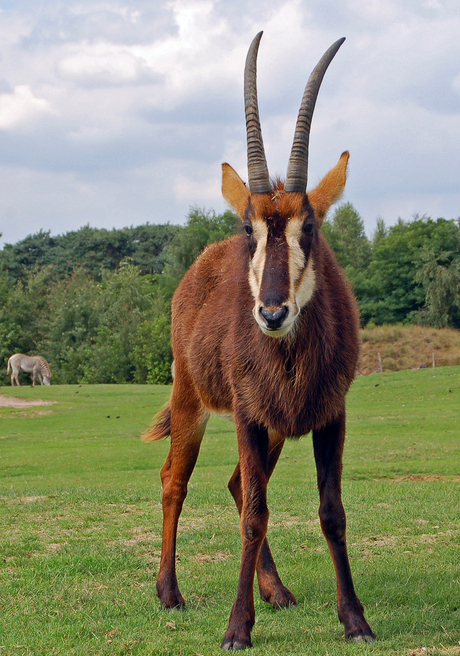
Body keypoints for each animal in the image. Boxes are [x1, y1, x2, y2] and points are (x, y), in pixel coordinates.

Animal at [145, 33, 378, 648]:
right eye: (250, 228)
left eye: (309, 227)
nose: (272, 313)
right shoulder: (247, 415)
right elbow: (254, 513)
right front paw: (236, 629)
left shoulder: (331, 415)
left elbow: (331, 512)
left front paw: (355, 620)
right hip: (194, 401)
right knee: (176, 482)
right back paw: (169, 593)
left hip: (274, 426)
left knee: (235, 484)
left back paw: (276, 591)